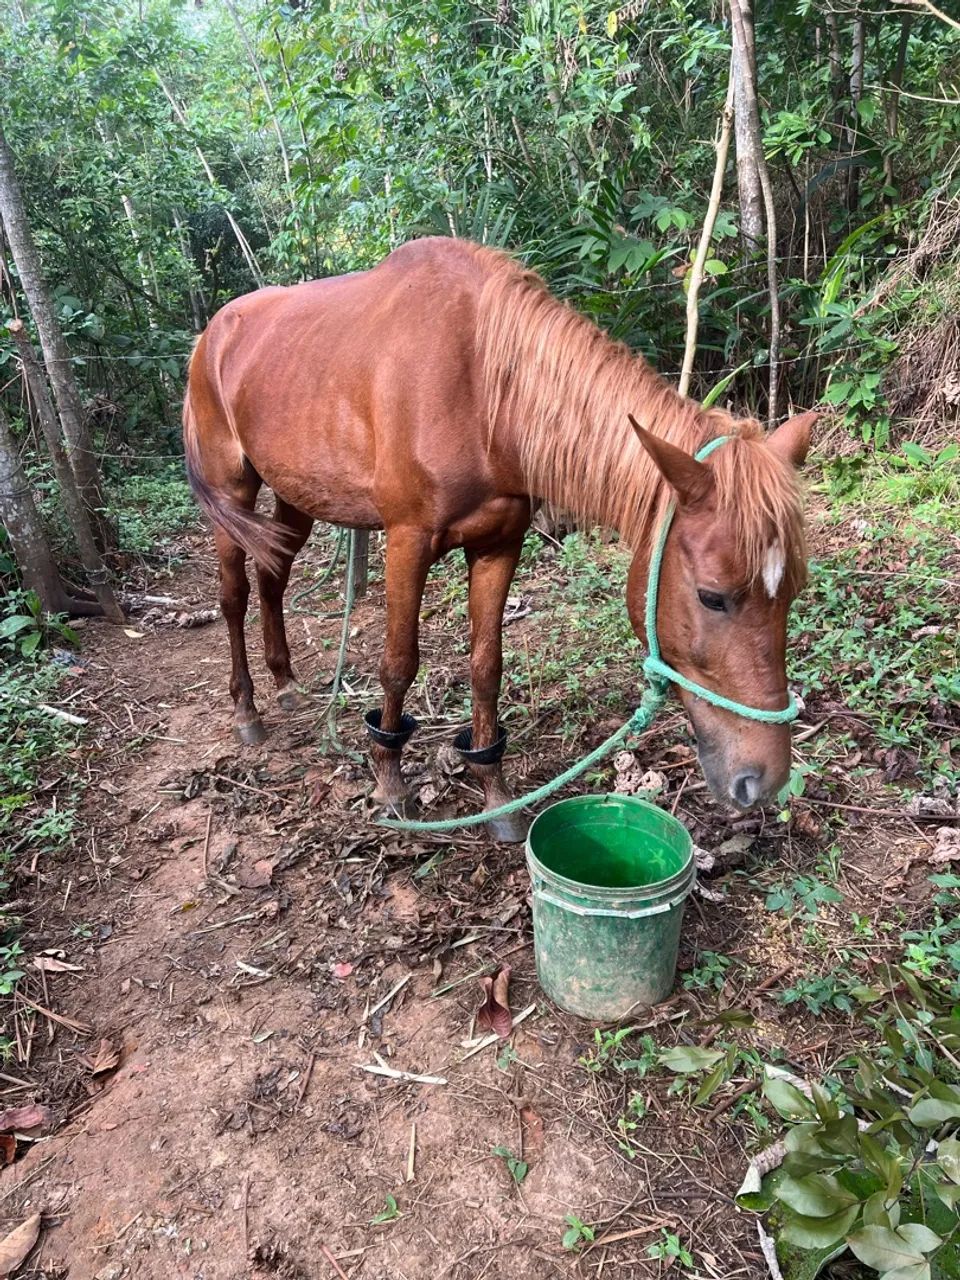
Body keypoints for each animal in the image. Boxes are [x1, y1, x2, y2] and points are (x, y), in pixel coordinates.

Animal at [183, 237, 815, 841]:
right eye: (712, 597)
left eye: (791, 595)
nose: (764, 781)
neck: (482, 387)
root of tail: (211, 335)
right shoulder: (407, 541)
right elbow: (398, 663)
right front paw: (389, 784)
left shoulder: (499, 544)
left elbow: (487, 667)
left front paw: (494, 792)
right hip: (232, 494)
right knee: (235, 596)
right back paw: (247, 711)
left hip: (295, 497)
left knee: (272, 577)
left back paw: (286, 683)